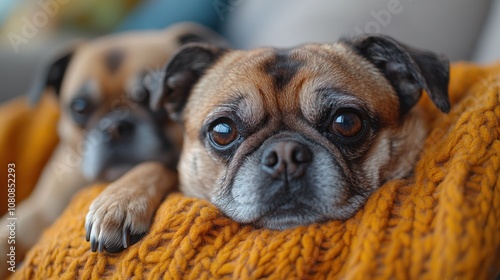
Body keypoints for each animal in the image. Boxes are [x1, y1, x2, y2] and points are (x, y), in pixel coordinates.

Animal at [0, 21, 225, 264]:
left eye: (151, 96)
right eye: (79, 107)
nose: (114, 127)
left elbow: (150, 167)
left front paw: (120, 201)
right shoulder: (34, 216)